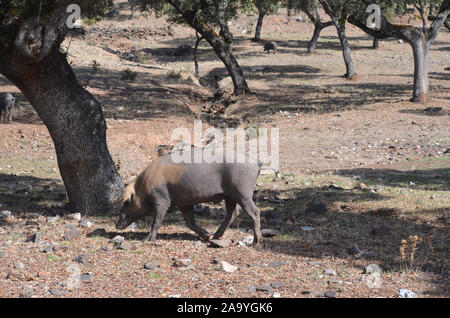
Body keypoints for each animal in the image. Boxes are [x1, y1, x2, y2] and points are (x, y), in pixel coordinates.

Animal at [117, 148, 264, 246]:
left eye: (126, 203)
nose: (116, 225)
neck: (143, 188)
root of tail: (256, 164)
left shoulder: (162, 200)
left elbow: (157, 221)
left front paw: (146, 240)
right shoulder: (184, 204)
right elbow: (190, 223)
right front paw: (205, 235)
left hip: (243, 192)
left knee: (255, 212)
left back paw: (255, 242)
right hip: (230, 195)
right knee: (233, 213)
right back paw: (214, 236)